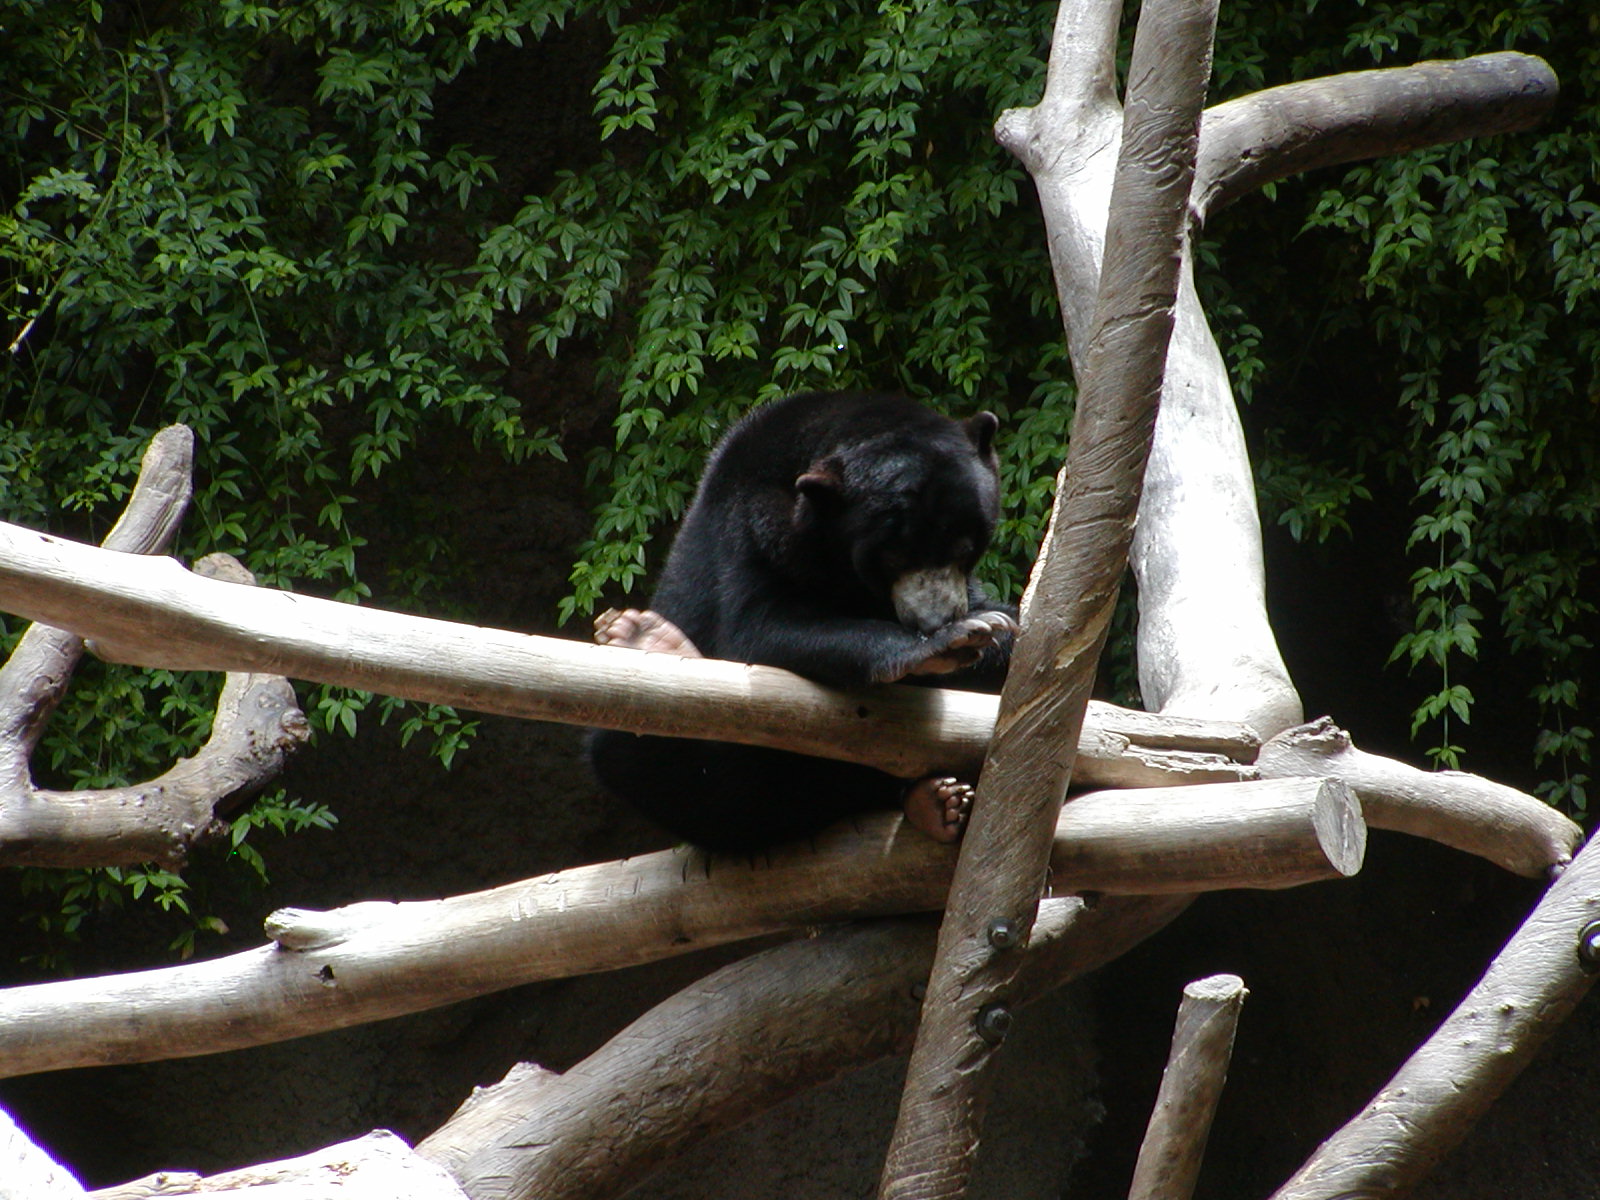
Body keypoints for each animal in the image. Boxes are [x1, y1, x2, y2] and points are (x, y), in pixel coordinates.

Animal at [586, 390, 1017, 853]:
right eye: (892, 558)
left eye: (964, 548)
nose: (935, 619)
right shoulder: (752, 525)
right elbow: (759, 630)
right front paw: (950, 641)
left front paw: (983, 630)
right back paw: (645, 637)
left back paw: (940, 804)